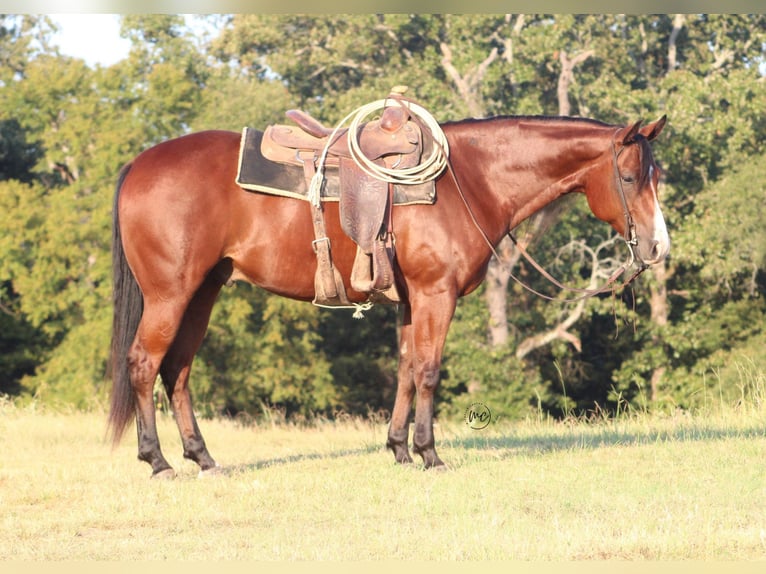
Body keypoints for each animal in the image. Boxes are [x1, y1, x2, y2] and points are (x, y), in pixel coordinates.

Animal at [108, 113, 669, 478]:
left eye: (656, 175)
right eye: (628, 176)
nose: (658, 246)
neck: (468, 181)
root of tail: (139, 164)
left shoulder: (408, 300)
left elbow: (405, 368)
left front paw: (399, 449)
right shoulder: (435, 295)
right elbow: (428, 371)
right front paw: (430, 454)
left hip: (201, 293)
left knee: (178, 371)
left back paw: (203, 458)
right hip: (170, 295)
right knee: (144, 364)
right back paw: (157, 461)